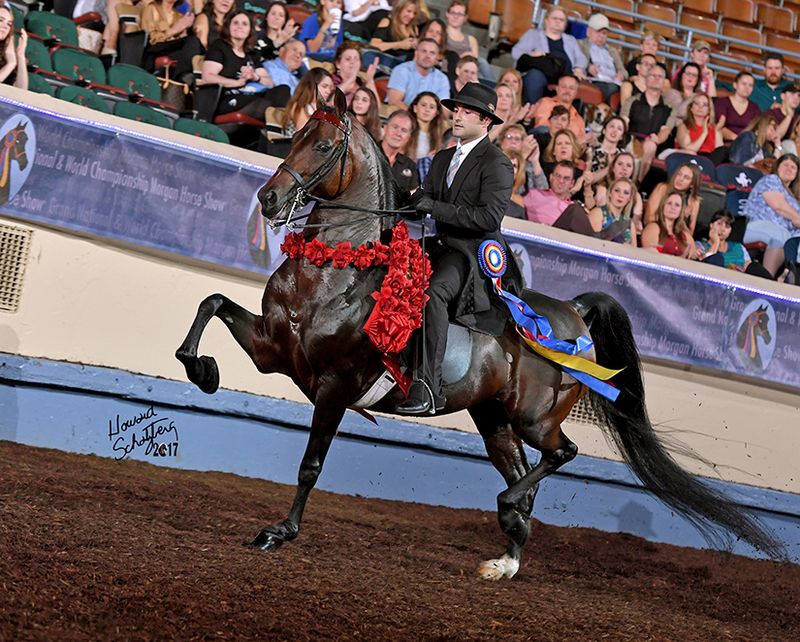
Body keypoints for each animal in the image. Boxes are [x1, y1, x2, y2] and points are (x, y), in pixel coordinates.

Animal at [175, 96, 780, 580]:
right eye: (292, 135)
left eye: (322, 145)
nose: (269, 200)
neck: (334, 268)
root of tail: (573, 315)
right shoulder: (272, 351)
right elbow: (211, 305)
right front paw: (203, 371)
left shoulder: (335, 386)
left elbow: (310, 464)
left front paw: (280, 532)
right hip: (495, 421)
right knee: (525, 470)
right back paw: (507, 554)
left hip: (534, 418)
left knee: (562, 454)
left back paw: (510, 510)